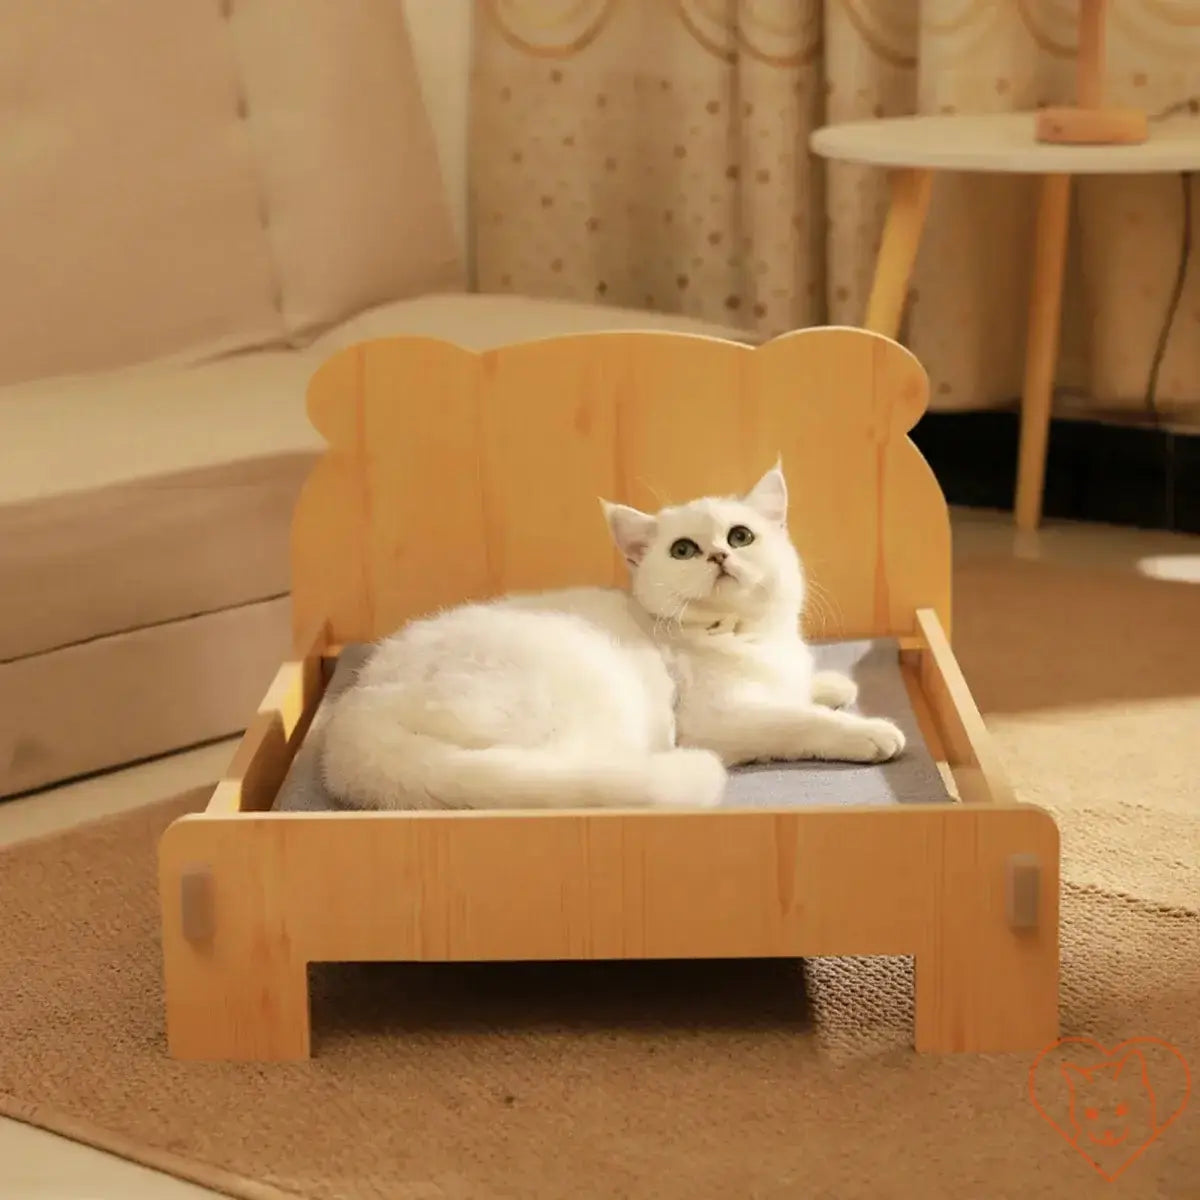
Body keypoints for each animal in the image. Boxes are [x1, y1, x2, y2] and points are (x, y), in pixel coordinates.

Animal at [324, 463, 902, 811]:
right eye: (684, 549)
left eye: (740, 536)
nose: (719, 555)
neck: (739, 634)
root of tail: (357, 715)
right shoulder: (720, 719)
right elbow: (796, 720)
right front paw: (866, 731)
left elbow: (801, 689)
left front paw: (830, 685)